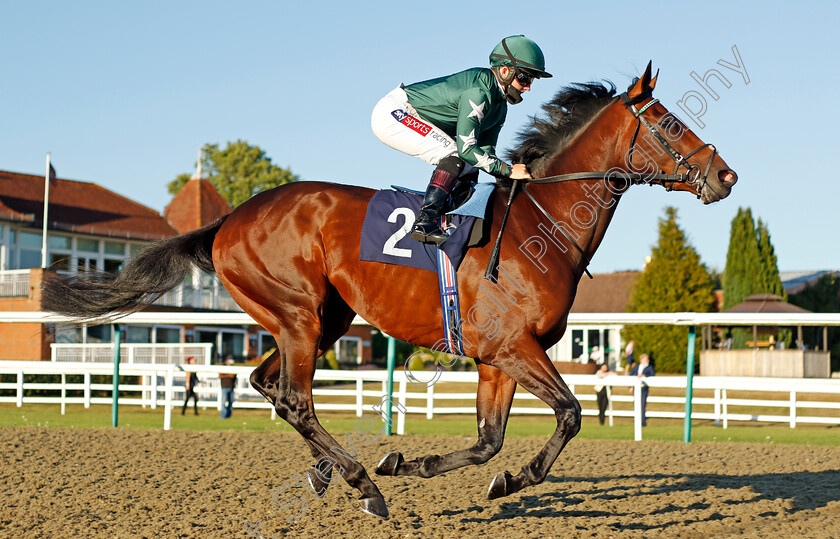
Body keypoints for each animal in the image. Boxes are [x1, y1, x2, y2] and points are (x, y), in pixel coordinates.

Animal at [41, 63, 736, 520]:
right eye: (668, 123)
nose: (725, 175)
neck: (542, 223)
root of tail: (230, 219)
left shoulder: (497, 358)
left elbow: (487, 441)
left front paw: (424, 466)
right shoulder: (515, 348)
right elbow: (568, 414)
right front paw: (506, 479)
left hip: (319, 319)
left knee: (270, 385)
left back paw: (329, 472)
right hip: (298, 313)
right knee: (295, 399)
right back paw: (359, 484)